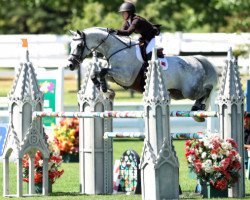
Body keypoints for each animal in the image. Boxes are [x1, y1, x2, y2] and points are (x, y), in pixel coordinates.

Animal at [67, 27, 218, 121]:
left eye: (79, 46)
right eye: (70, 46)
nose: (70, 65)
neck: (117, 49)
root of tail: (197, 60)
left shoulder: (125, 77)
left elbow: (103, 71)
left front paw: (104, 88)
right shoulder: (116, 76)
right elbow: (97, 74)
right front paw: (105, 90)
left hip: (189, 91)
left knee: (207, 90)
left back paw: (198, 107)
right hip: (177, 93)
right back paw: (197, 108)